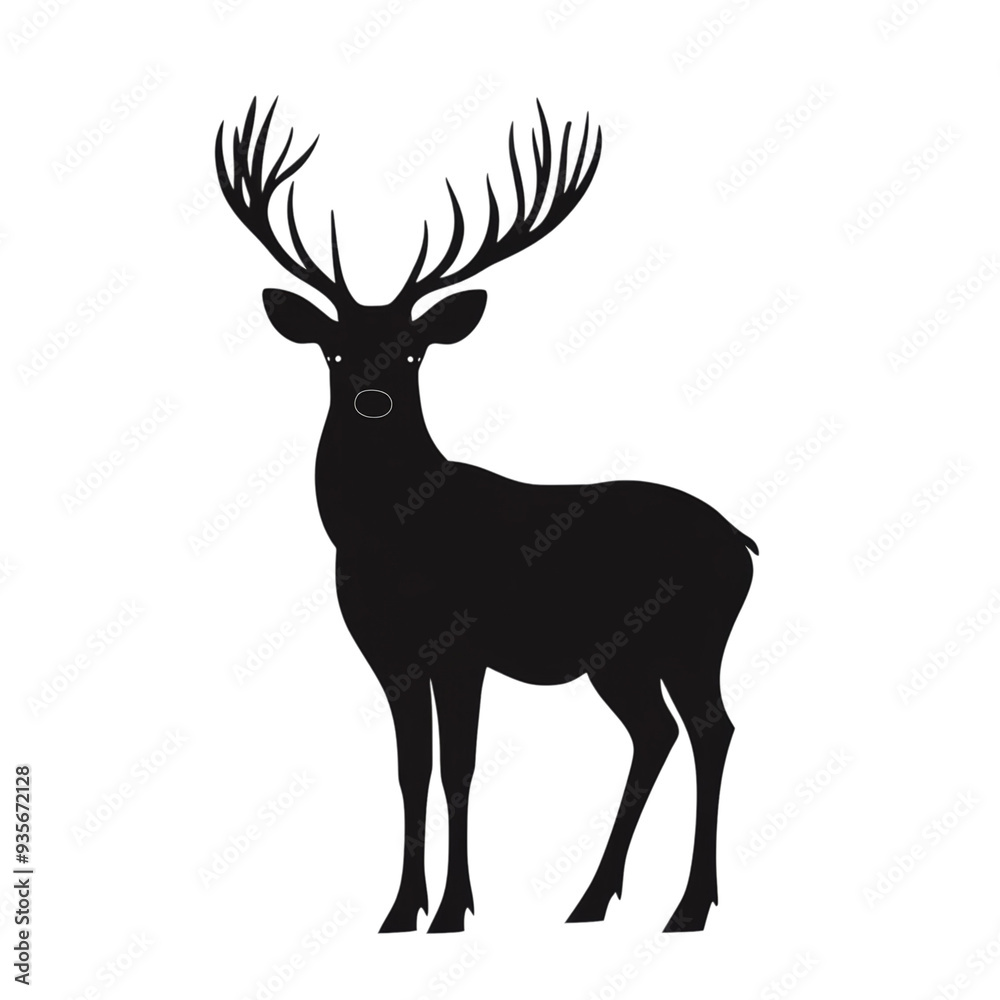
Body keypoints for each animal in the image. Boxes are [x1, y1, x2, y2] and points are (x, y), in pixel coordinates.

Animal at [216, 98, 758, 935]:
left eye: (413, 353)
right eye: (335, 352)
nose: (373, 401)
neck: (389, 543)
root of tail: (745, 544)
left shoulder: (465, 640)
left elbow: (460, 770)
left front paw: (453, 910)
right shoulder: (389, 655)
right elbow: (411, 770)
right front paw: (400, 911)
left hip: (695, 634)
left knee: (711, 729)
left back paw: (690, 907)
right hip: (622, 656)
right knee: (657, 732)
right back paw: (593, 901)